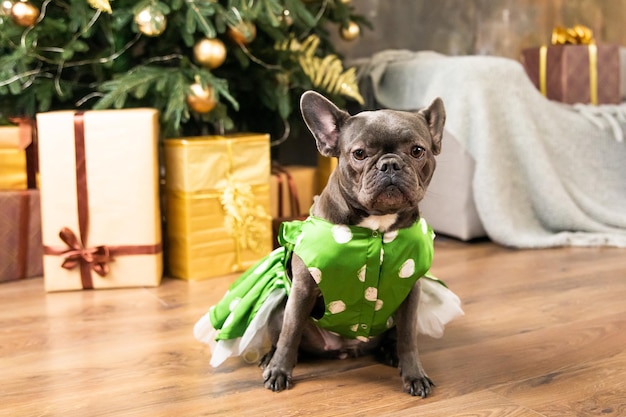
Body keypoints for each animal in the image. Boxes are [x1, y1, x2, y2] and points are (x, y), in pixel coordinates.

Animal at [193, 90, 460, 396]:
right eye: (359, 154)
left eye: (417, 151)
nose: (390, 164)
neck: (376, 228)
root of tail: (345, 349)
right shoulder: (303, 288)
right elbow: (290, 333)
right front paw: (279, 370)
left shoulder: (409, 292)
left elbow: (407, 337)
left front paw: (414, 374)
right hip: (279, 310)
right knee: (287, 335)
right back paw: (270, 358)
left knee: (393, 336)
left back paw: (389, 353)